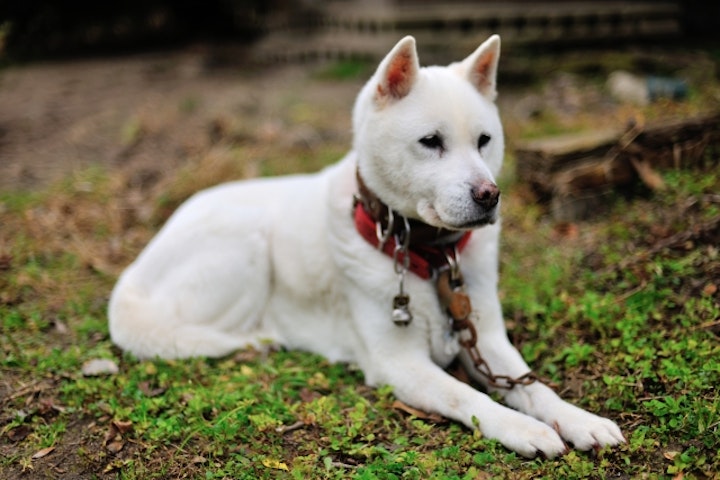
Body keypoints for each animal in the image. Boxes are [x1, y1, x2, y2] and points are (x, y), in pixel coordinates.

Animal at [108, 34, 624, 458]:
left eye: (484, 141)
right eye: (430, 141)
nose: (489, 195)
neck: (429, 255)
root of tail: (131, 278)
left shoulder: (487, 340)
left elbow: (532, 384)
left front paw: (580, 420)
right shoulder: (399, 364)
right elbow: (468, 395)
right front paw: (523, 429)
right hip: (248, 244)